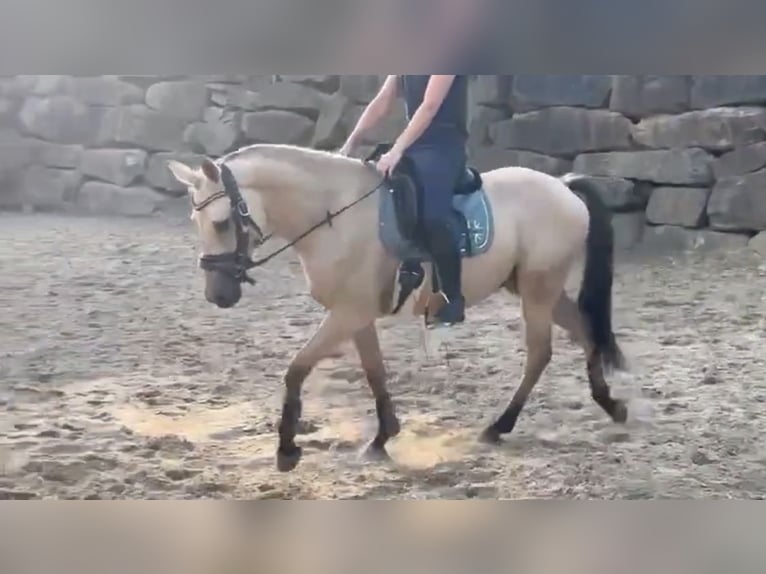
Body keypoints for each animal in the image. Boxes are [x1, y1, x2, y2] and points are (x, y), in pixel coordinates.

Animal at [168, 142, 632, 474]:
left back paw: (498, 426)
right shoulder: (355, 316)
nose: (218, 295)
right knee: (585, 330)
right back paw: (610, 404)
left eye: (222, 222)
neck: (335, 217)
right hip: (535, 289)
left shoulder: (346, 314)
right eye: (195, 222)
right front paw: (382, 438)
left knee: (540, 353)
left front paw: (286, 449)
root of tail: (562, 186)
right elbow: (374, 371)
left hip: (538, 291)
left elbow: (296, 369)